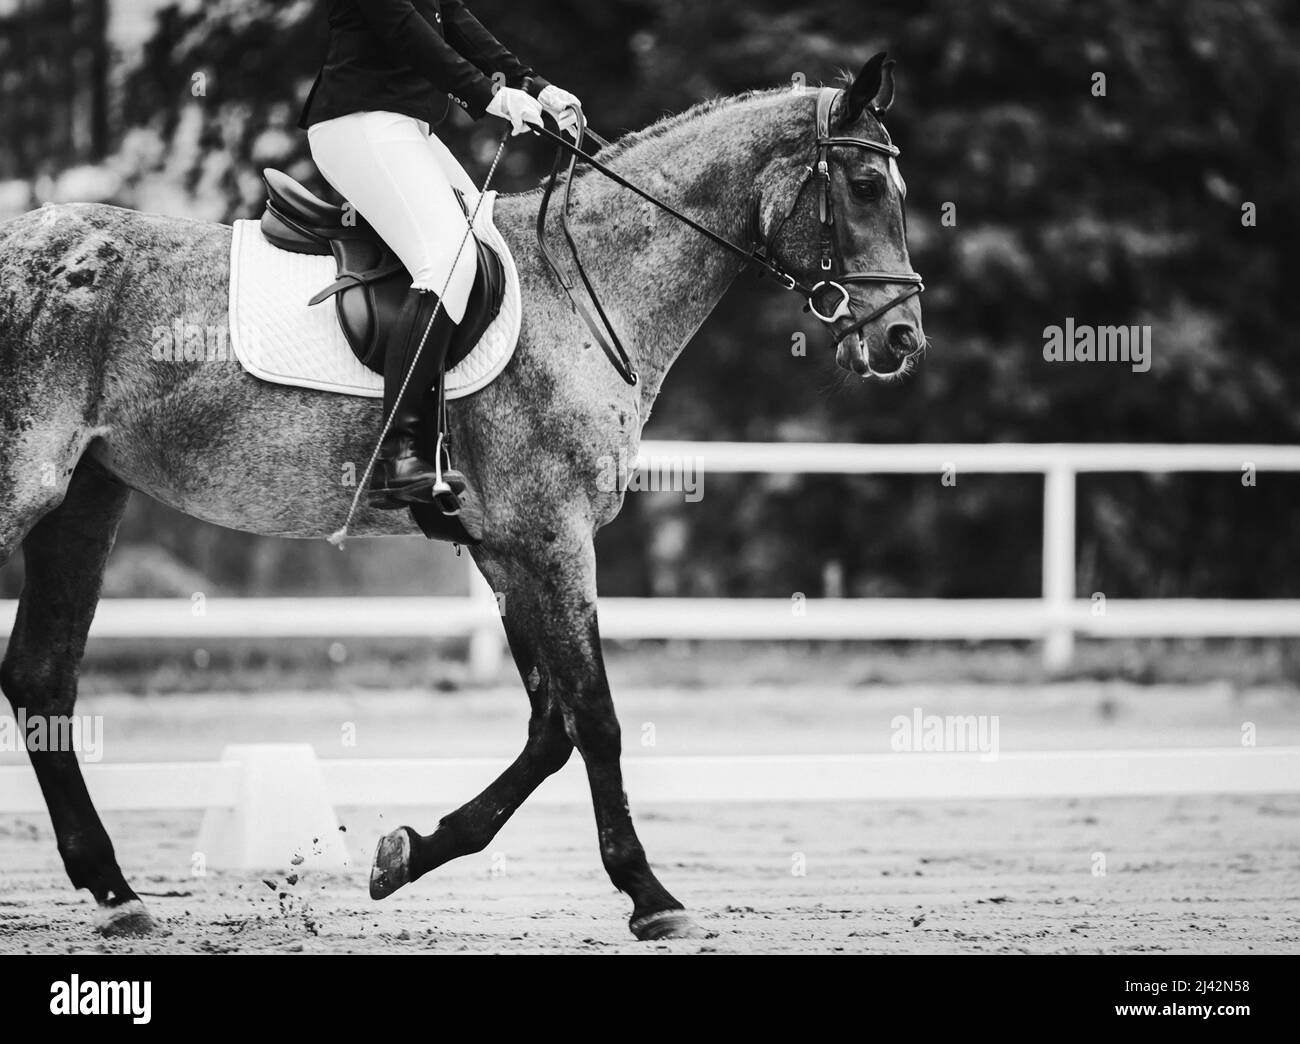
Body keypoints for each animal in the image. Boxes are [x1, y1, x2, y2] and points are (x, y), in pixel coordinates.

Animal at [0, 54, 925, 942]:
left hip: (84, 499)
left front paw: (408, 853)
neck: (585, 288)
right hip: (26, 487)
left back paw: (118, 896)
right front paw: (651, 896)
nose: (901, 338)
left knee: (42, 681)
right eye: (865, 187)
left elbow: (551, 730)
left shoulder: (506, 547)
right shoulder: (553, 535)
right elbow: (596, 718)